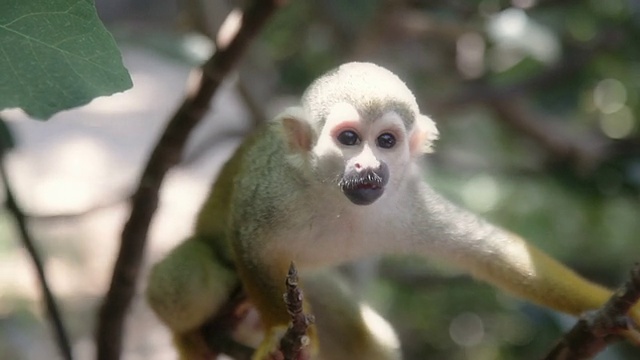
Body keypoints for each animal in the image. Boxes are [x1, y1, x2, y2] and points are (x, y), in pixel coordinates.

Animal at [146, 62, 640, 358]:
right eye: (349, 139)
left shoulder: (407, 203)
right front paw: (275, 331)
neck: (336, 201)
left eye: (386, 141)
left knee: (369, 337)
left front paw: (621, 313)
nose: (368, 167)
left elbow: (496, 256)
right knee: (190, 281)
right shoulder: (270, 193)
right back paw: (187, 337)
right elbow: (248, 242)